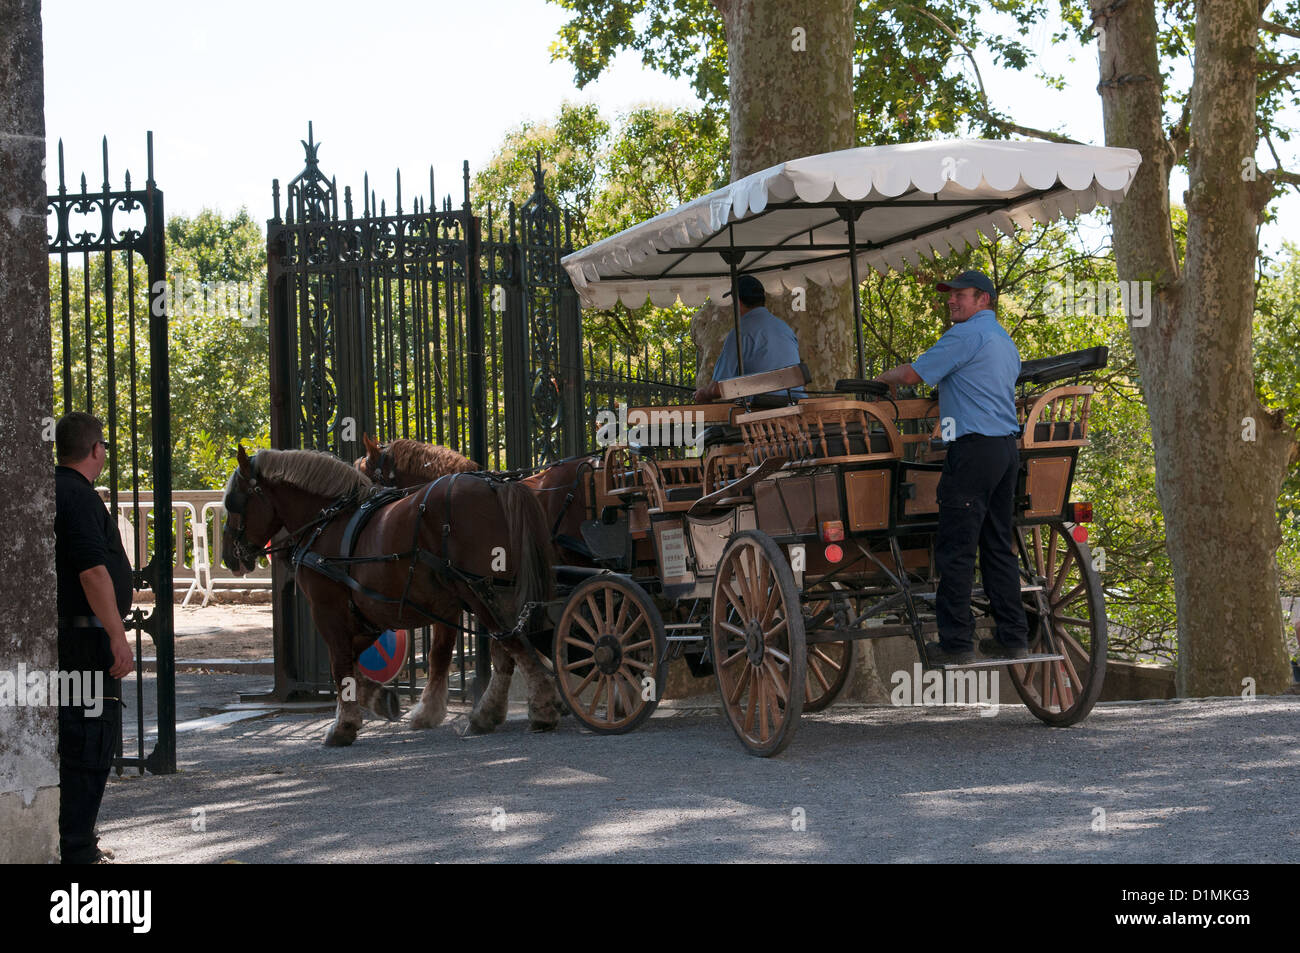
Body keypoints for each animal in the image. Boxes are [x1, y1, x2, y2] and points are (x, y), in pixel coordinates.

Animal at [223, 447, 559, 743]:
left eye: (232, 503)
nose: (230, 557)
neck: (327, 521)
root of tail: (497, 486)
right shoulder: (376, 613)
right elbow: (375, 661)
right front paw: (383, 699)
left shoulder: (328, 609)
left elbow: (340, 664)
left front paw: (344, 725)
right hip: (498, 592)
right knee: (509, 649)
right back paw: (497, 712)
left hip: (479, 591)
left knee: (512, 644)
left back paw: (540, 709)